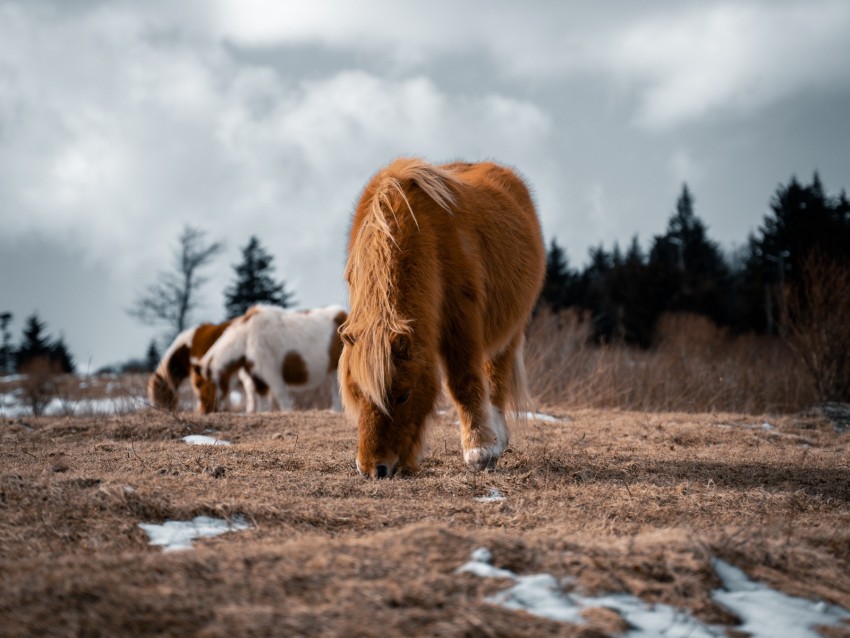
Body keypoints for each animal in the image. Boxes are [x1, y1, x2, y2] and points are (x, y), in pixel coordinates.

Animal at [194, 304, 346, 416]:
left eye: (201, 384)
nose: (204, 411)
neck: (246, 338)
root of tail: (343, 314)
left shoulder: (270, 372)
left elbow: (281, 396)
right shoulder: (255, 376)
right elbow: (261, 399)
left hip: (336, 370)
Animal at [338, 160, 544, 480]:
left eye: (403, 395)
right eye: (357, 394)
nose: (374, 469)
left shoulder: (460, 322)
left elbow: (463, 382)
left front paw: (480, 450)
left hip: (508, 333)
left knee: (495, 380)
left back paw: (497, 441)